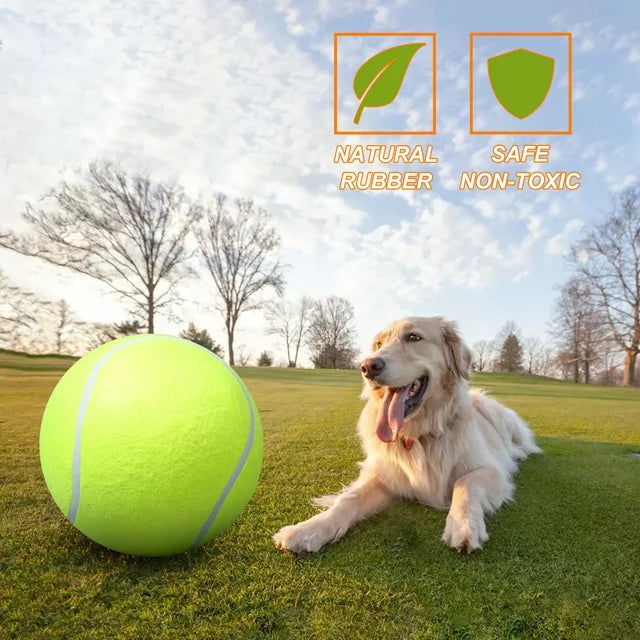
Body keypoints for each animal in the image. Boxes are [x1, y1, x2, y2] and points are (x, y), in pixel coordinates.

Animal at [272, 316, 544, 556]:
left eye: (413, 337)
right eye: (378, 344)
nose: (367, 367)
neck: (419, 434)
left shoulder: (491, 471)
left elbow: (464, 483)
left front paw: (463, 524)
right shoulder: (385, 476)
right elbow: (348, 499)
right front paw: (309, 529)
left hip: (496, 412)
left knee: (522, 444)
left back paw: (519, 453)